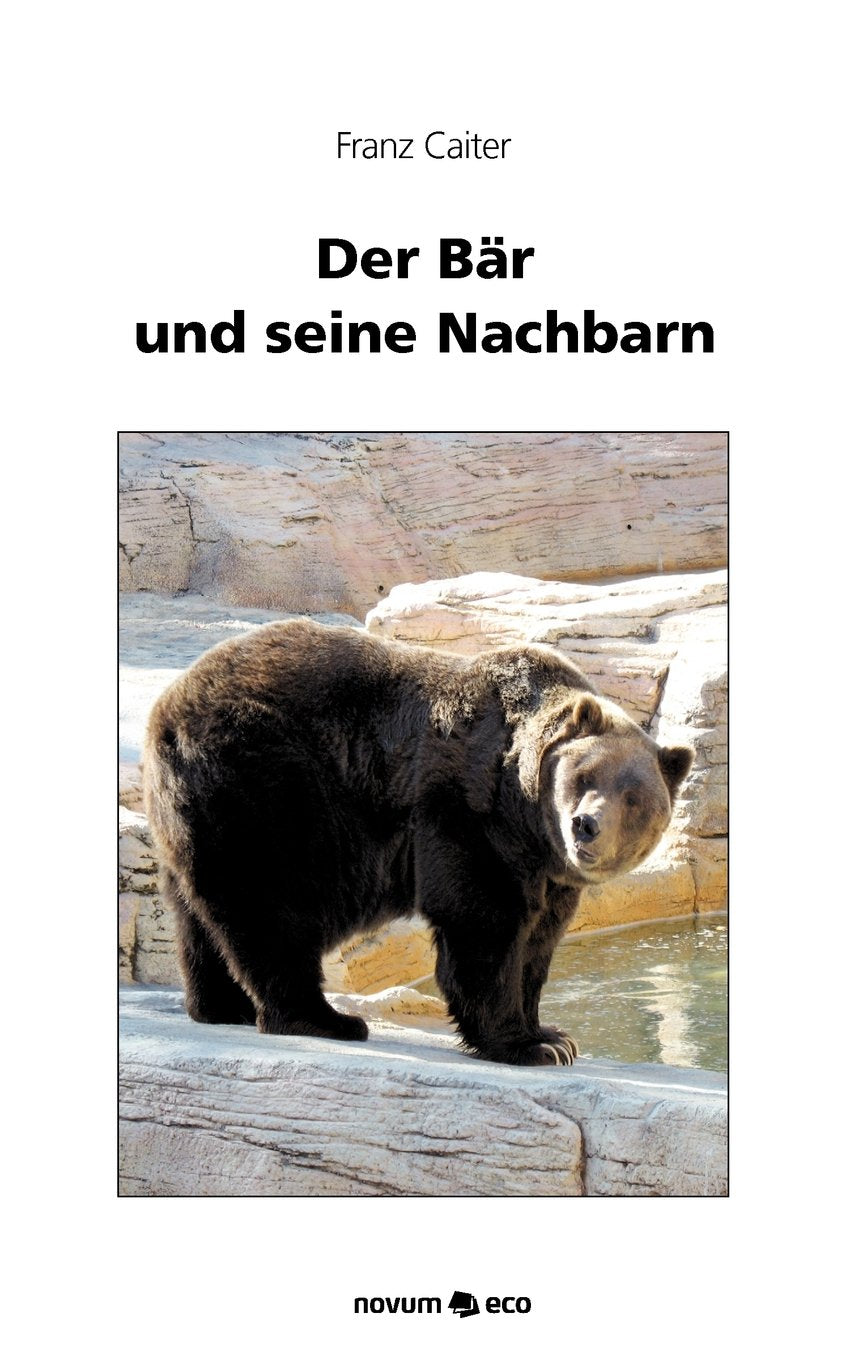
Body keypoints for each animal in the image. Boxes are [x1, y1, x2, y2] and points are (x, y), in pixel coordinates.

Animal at [143, 619, 693, 1067]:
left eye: (634, 798)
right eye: (585, 775)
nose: (586, 825)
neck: (527, 818)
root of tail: (166, 710)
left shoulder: (548, 870)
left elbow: (539, 938)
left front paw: (552, 1034)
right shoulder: (465, 814)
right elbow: (483, 923)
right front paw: (525, 1044)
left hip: (199, 813)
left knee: (197, 912)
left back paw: (220, 1006)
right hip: (265, 785)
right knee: (272, 907)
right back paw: (324, 1018)